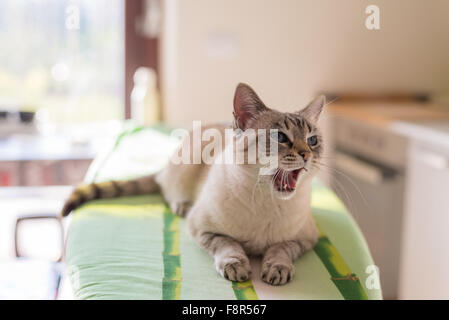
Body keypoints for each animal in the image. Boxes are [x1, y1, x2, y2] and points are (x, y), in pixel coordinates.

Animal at [61, 82, 324, 284]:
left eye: (312, 141)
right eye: (280, 137)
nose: (306, 155)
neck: (267, 201)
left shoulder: (306, 239)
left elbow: (281, 249)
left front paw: (277, 269)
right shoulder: (202, 229)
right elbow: (228, 246)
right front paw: (236, 266)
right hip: (182, 175)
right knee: (168, 191)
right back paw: (181, 206)